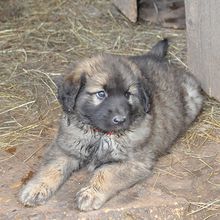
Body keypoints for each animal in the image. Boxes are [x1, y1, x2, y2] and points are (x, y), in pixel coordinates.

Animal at [18, 39, 203, 211]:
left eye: (128, 94)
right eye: (101, 94)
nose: (120, 119)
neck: (99, 134)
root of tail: (155, 57)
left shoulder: (133, 162)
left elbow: (105, 173)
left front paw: (90, 193)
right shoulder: (65, 148)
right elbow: (52, 168)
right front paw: (36, 189)